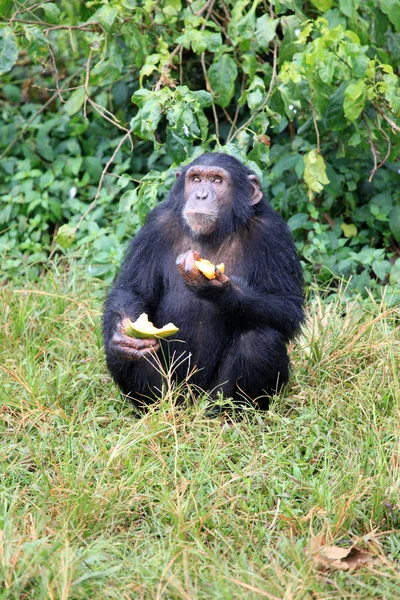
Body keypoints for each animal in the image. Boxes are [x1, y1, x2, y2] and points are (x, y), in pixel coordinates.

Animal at [102, 152, 304, 410]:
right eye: (196, 179)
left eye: (217, 181)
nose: (201, 195)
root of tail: (191, 400)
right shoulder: (155, 227)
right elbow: (133, 289)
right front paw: (124, 337)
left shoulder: (273, 234)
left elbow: (287, 306)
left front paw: (219, 290)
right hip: (174, 392)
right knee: (122, 354)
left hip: (213, 395)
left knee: (259, 341)